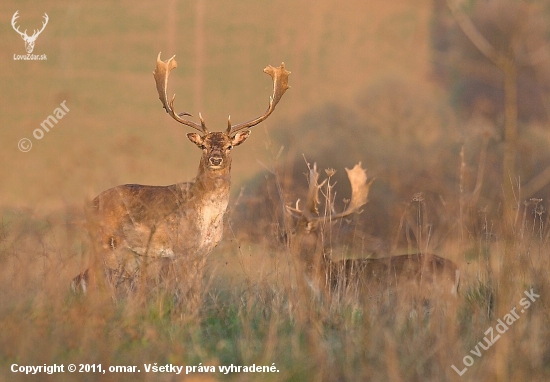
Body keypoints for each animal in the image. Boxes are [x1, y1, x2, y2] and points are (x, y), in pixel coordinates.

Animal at [74, 52, 294, 294]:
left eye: (229, 146)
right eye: (204, 146)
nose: (215, 159)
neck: (209, 216)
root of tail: (89, 206)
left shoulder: (204, 252)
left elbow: (195, 291)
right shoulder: (182, 248)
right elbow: (183, 288)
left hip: (128, 252)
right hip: (104, 241)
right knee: (86, 278)